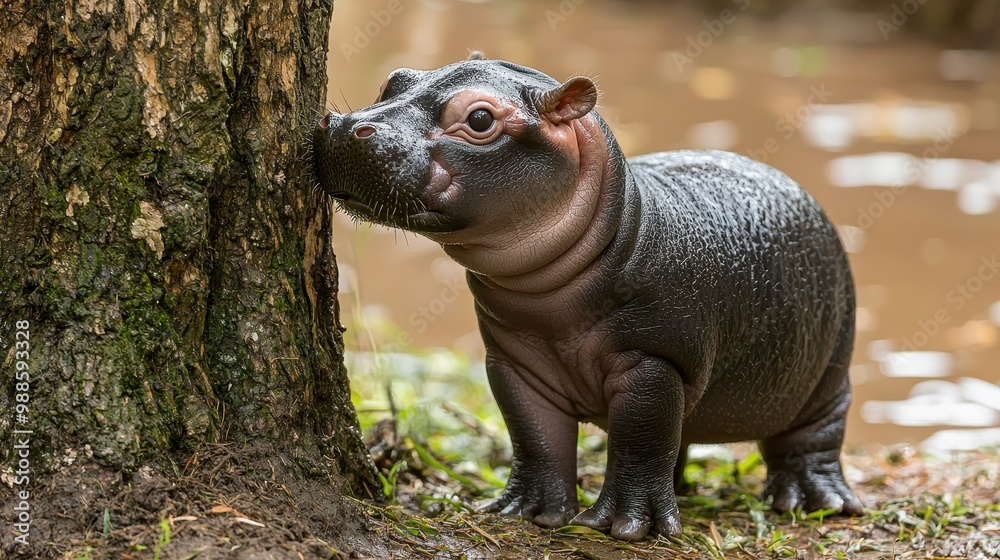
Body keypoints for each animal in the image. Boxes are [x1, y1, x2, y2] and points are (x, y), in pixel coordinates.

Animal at [312, 53, 863, 541]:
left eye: (480, 118)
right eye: (394, 79)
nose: (347, 126)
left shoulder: (654, 359)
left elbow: (639, 438)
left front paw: (623, 526)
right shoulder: (514, 362)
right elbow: (536, 435)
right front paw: (524, 511)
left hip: (828, 367)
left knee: (814, 433)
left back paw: (810, 501)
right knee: (678, 435)